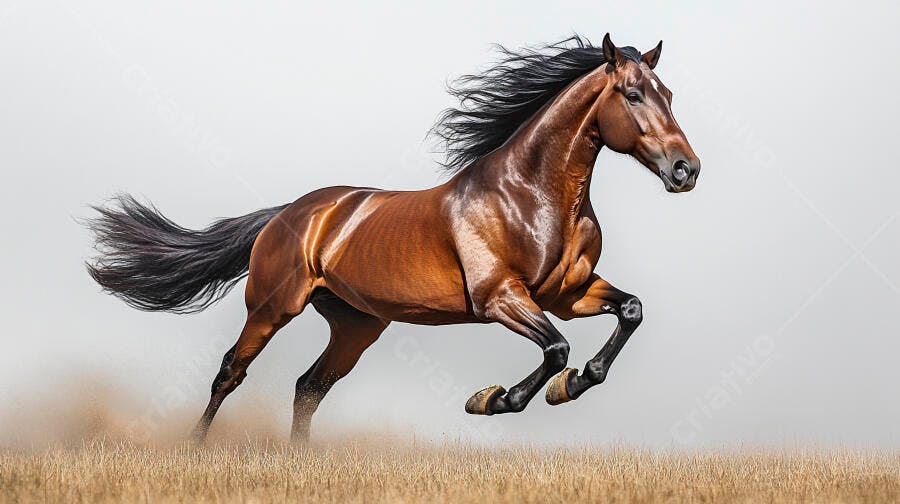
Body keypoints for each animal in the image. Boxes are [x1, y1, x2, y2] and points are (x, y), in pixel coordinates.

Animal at [86, 34, 700, 443]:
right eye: (632, 94)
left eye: (669, 93)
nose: (685, 170)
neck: (532, 195)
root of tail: (290, 213)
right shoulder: (500, 297)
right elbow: (556, 349)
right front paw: (494, 400)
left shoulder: (567, 295)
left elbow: (629, 312)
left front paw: (571, 386)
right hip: (271, 307)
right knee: (231, 373)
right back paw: (193, 448)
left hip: (356, 324)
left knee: (309, 386)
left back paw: (297, 461)